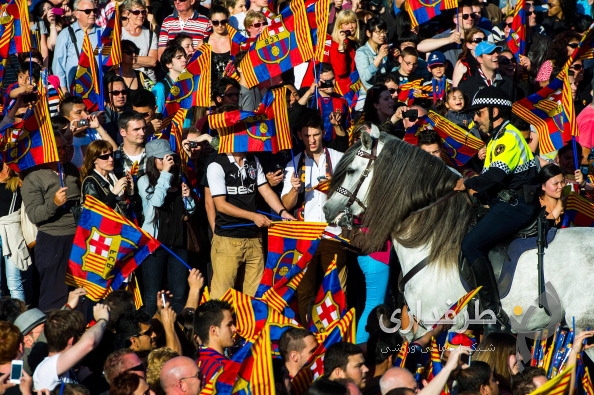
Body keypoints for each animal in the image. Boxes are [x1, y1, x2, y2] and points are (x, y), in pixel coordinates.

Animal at [324, 132, 594, 362]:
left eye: (351, 170)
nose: (328, 209)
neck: (431, 240)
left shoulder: (442, 322)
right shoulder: (423, 324)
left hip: (584, 325)